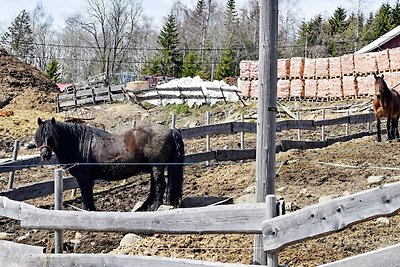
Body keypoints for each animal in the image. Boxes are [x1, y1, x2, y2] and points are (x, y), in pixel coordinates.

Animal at [34, 118, 184, 213]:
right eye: (40, 136)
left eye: (52, 136)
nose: (45, 155)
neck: (79, 143)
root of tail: (171, 130)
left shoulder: (84, 177)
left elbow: (86, 194)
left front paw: (89, 210)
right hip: (154, 168)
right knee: (155, 187)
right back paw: (144, 207)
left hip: (157, 167)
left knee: (160, 186)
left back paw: (154, 207)